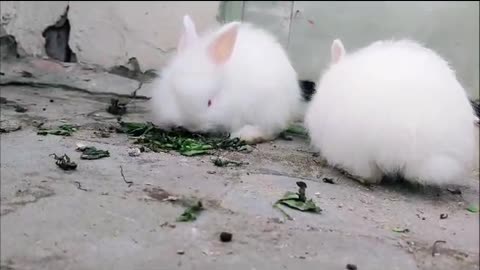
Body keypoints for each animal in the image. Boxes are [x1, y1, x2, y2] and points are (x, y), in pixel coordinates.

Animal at [150, 14, 306, 143]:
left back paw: (246, 135)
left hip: (271, 110)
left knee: (270, 131)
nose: (193, 126)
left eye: (210, 102)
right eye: (175, 96)